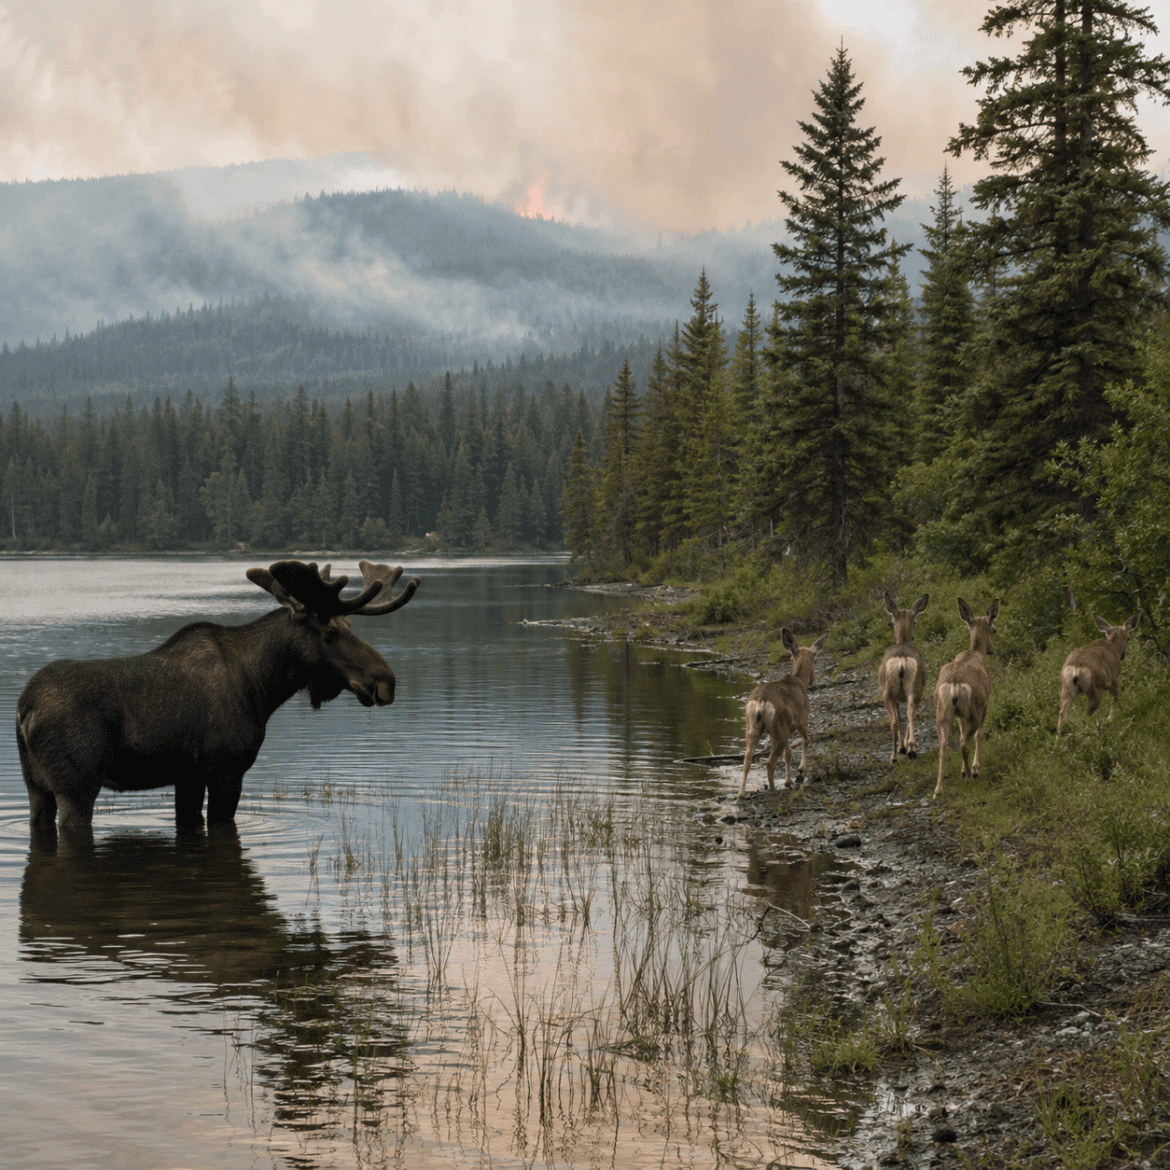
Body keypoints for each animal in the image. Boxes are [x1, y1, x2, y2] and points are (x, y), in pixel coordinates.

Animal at [16, 559, 419, 835]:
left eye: (349, 625)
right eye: (330, 633)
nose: (385, 681)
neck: (264, 687)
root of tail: (25, 708)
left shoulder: (188, 775)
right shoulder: (227, 769)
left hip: (36, 786)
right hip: (77, 786)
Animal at [738, 628, 829, 798]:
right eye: (815, 660)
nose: (813, 679)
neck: (800, 682)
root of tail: (762, 701)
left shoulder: (787, 729)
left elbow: (788, 754)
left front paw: (788, 781)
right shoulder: (802, 720)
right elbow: (806, 740)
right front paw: (799, 775)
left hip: (754, 726)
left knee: (747, 759)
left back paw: (741, 794)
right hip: (777, 728)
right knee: (769, 762)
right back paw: (773, 789)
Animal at [877, 591, 930, 763]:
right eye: (915, 621)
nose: (912, 637)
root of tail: (901, 661)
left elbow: (899, 718)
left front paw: (902, 747)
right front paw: (904, 747)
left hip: (888, 692)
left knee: (895, 720)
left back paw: (896, 755)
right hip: (914, 689)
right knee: (909, 714)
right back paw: (910, 749)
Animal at [934, 597, 999, 799]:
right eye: (994, 629)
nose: (992, 649)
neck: (974, 652)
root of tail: (955, 684)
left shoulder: (961, 716)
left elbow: (962, 732)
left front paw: (963, 770)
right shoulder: (985, 704)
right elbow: (979, 734)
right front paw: (974, 768)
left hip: (942, 712)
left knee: (944, 746)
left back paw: (938, 789)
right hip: (974, 709)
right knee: (965, 742)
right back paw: (970, 776)